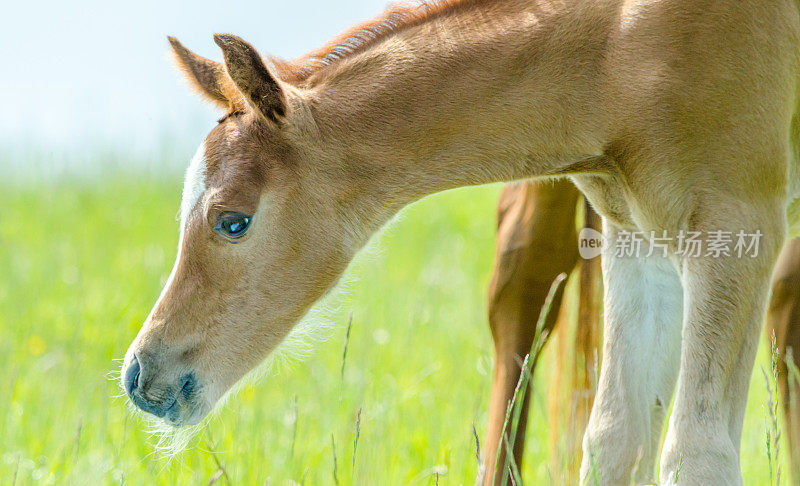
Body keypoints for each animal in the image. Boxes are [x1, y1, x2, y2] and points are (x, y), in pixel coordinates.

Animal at [120, 0, 800, 482]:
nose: (140, 374)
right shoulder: (637, 241)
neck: (619, 48)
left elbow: (697, 453)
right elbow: (613, 438)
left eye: (232, 220)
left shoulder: (736, 228)